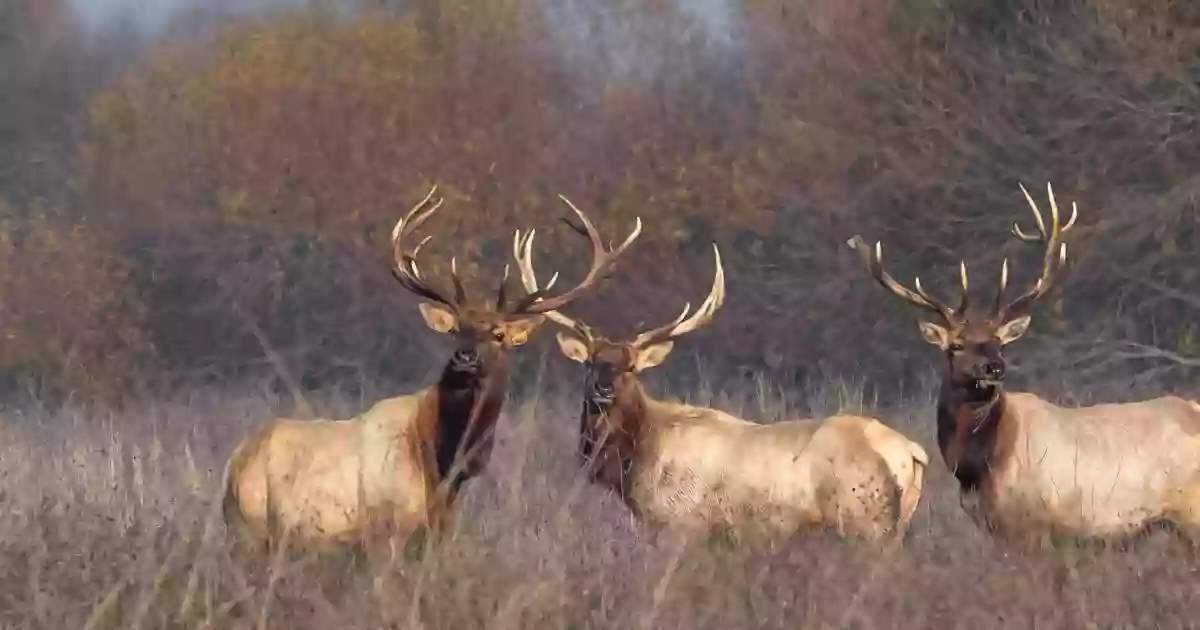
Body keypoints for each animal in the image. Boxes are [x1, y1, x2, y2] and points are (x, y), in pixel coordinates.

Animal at [220, 186, 643, 549]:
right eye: (456, 330)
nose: (465, 357)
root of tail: (234, 468)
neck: (445, 464)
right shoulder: (387, 530)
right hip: (255, 529)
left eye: (499, 334)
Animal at [516, 228, 926, 542]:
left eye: (630, 367)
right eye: (590, 362)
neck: (635, 463)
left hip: (864, 520)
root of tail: (911, 452)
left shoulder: (680, 522)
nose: (602, 389)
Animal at [844, 181, 1200, 540]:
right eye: (957, 345)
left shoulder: (1034, 523)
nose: (995, 368)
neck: (977, 470)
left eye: (999, 344)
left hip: (1191, 511)